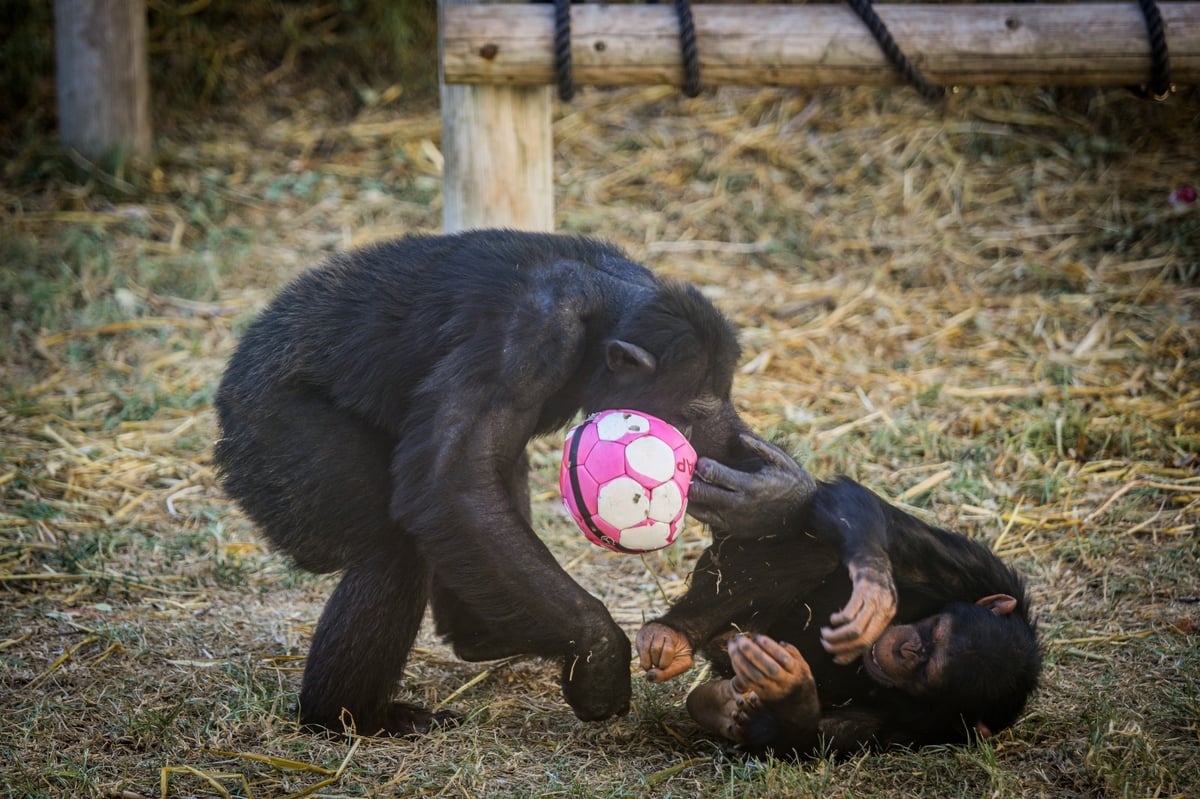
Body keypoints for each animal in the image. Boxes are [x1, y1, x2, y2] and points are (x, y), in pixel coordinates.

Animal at [638, 431, 1041, 758]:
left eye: (926, 671)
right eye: (934, 630)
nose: (907, 649)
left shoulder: (923, 734)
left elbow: (807, 739)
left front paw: (789, 691)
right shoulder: (976, 571)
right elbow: (870, 511)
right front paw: (873, 586)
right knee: (819, 547)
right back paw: (674, 634)